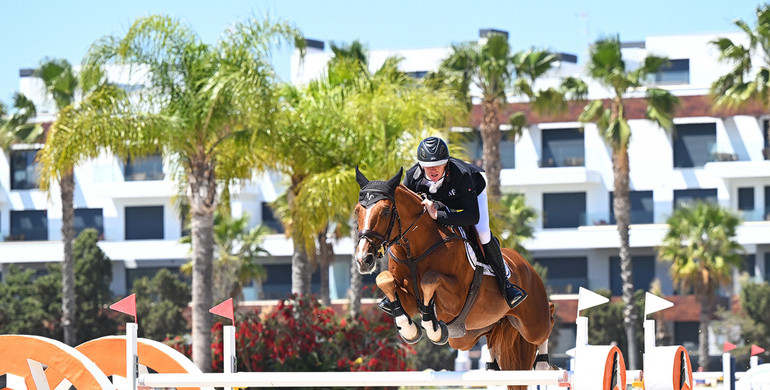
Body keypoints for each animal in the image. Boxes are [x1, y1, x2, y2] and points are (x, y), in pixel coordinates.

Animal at [352, 168, 556, 386]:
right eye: (357, 211)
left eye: (385, 211)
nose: (364, 259)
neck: (413, 251)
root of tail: (526, 265)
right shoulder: (408, 299)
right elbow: (384, 280)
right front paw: (409, 329)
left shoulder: (455, 298)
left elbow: (429, 279)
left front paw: (433, 328)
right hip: (468, 335)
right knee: (491, 336)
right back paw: (491, 367)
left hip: (532, 323)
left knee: (547, 322)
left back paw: (542, 363)